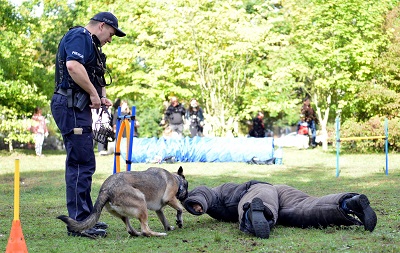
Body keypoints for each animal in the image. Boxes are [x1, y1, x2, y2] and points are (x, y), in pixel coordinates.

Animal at [57, 166, 188, 237]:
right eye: (187, 186)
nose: (186, 196)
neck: (175, 179)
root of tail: (106, 189)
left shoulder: (159, 210)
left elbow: (164, 219)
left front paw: (169, 227)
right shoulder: (170, 199)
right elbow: (180, 209)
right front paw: (179, 221)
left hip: (124, 214)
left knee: (130, 230)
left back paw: (138, 233)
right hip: (141, 202)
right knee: (145, 230)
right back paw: (158, 234)